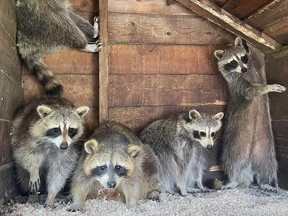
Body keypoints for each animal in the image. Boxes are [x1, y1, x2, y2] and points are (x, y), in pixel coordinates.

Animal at [214, 36, 286, 191]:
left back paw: (265, 182)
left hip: (265, 148)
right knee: (231, 161)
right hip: (234, 144)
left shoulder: (255, 67)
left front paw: (248, 43)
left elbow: (258, 59)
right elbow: (251, 90)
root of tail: (248, 168)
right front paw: (267, 87)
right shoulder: (236, 83)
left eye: (243, 57)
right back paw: (233, 180)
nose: (244, 68)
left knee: (268, 165)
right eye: (233, 62)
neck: (245, 72)